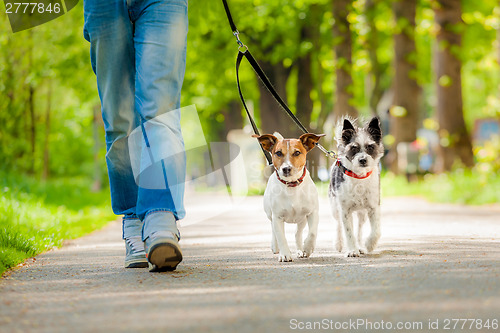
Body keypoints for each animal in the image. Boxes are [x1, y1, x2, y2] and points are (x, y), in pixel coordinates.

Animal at [254, 133, 324, 262]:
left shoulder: (313, 213)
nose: (286, 168)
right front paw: (285, 254)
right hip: (270, 215)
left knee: (297, 233)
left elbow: (312, 233)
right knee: (273, 230)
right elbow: (281, 237)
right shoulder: (277, 217)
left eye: (297, 152)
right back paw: (275, 246)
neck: (292, 185)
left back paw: (300, 250)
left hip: (302, 219)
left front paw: (307, 248)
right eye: (278, 153)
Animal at [328, 116, 382, 256]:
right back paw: (339, 243)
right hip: (335, 207)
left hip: (362, 213)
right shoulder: (345, 210)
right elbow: (348, 232)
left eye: (370, 147)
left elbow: (376, 230)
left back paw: (361, 246)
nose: (362, 160)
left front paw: (369, 244)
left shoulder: (373, 207)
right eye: (354, 148)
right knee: (338, 225)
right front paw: (352, 250)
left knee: (359, 229)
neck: (359, 177)